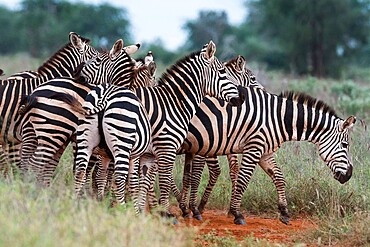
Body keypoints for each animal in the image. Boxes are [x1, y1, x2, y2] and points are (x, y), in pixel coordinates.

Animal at [76, 39, 246, 221]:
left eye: (97, 60)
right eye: (222, 72)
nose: (242, 97)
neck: (174, 103)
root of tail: (105, 98)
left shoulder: (146, 154)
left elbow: (143, 182)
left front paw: (139, 211)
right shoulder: (166, 148)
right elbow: (163, 181)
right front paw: (166, 214)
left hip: (88, 144)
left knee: (82, 172)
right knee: (115, 178)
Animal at [178, 86, 356, 225]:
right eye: (345, 145)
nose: (349, 175)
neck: (277, 119)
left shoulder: (265, 152)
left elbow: (279, 177)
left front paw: (284, 212)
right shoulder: (254, 147)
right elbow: (243, 180)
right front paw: (237, 214)